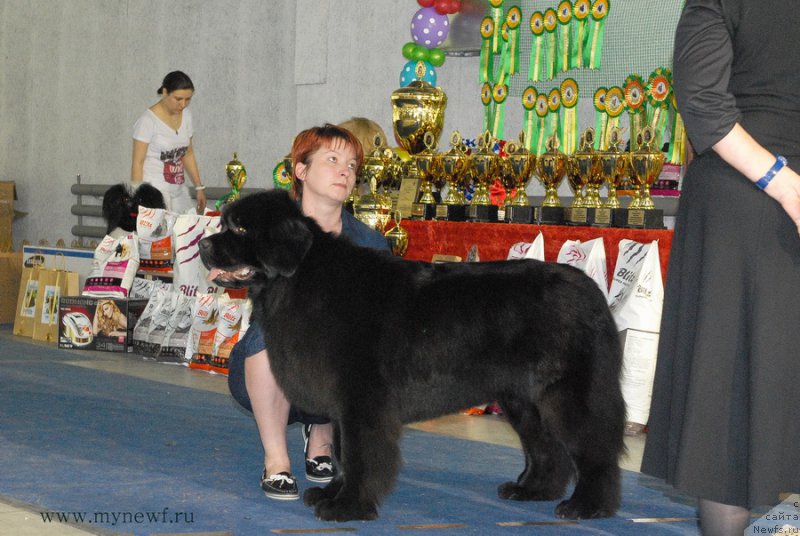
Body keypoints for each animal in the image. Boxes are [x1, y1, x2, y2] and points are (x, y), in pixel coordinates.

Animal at [198, 191, 624, 520]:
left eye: (240, 229)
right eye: (225, 223)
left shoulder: (361, 399)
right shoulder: (343, 404)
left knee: (593, 449)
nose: (203, 244)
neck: (300, 279)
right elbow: (341, 451)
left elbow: (359, 454)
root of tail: (591, 291)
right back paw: (532, 490)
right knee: (546, 448)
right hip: (522, 399)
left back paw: (586, 506)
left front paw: (347, 506)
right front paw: (331, 493)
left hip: (567, 395)